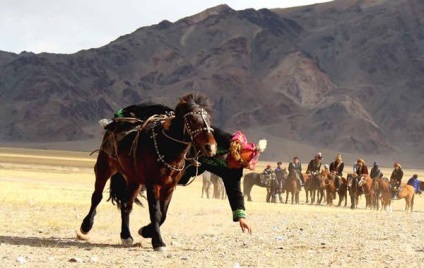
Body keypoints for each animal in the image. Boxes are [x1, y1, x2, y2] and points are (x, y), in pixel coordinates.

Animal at [79, 92, 217, 251]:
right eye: (193, 120)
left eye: (209, 120)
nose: (210, 147)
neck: (167, 148)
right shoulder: (153, 184)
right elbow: (155, 212)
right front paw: (158, 242)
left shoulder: (170, 187)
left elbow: (163, 214)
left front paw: (145, 231)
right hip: (104, 168)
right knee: (97, 196)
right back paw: (86, 226)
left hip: (134, 180)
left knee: (126, 205)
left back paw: (126, 236)